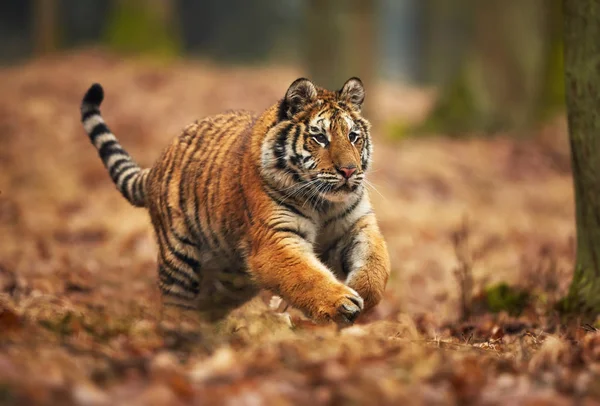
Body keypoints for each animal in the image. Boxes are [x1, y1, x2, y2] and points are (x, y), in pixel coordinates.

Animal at [78, 75, 390, 324]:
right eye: (320, 138)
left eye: (353, 136)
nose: (348, 170)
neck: (324, 203)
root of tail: (155, 166)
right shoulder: (275, 239)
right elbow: (305, 275)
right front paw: (342, 303)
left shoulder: (357, 224)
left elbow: (377, 263)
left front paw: (361, 291)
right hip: (179, 260)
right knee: (176, 306)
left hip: (230, 280)